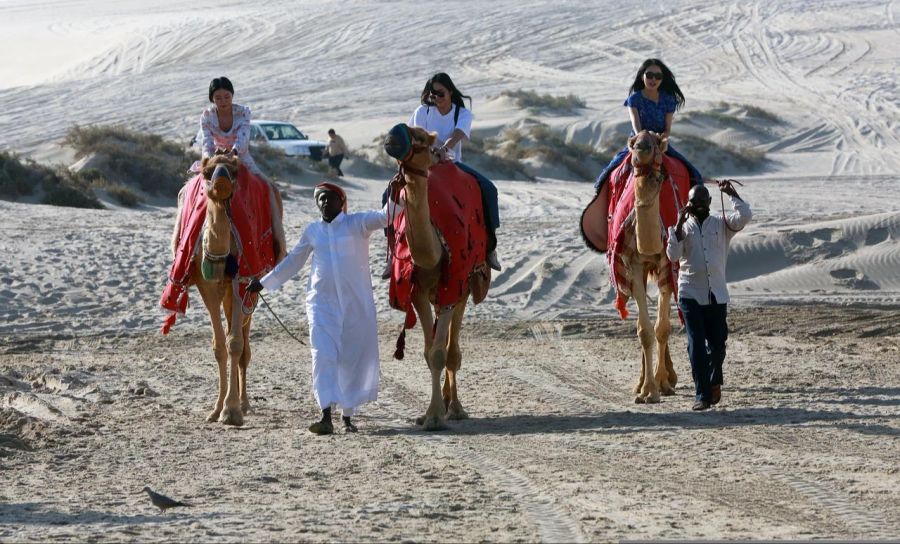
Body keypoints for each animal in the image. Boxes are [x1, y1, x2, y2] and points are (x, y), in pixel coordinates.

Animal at [167, 152, 284, 424]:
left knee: (244, 342)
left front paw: (231, 411)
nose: (221, 184)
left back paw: (245, 403)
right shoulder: (206, 285)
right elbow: (219, 345)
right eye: (207, 172)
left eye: (234, 171)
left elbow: (235, 344)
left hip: (249, 286)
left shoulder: (241, 281)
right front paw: (216, 409)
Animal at [384, 125, 488, 432]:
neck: (434, 250)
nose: (392, 136)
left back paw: (454, 408)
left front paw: (436, 416)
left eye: (420, 138)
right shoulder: (417, 291)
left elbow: (441, 353)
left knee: (453, 350)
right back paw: (445, 402)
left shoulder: (453, 285)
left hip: (466, 284)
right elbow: (430, 352)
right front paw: (428, 413)